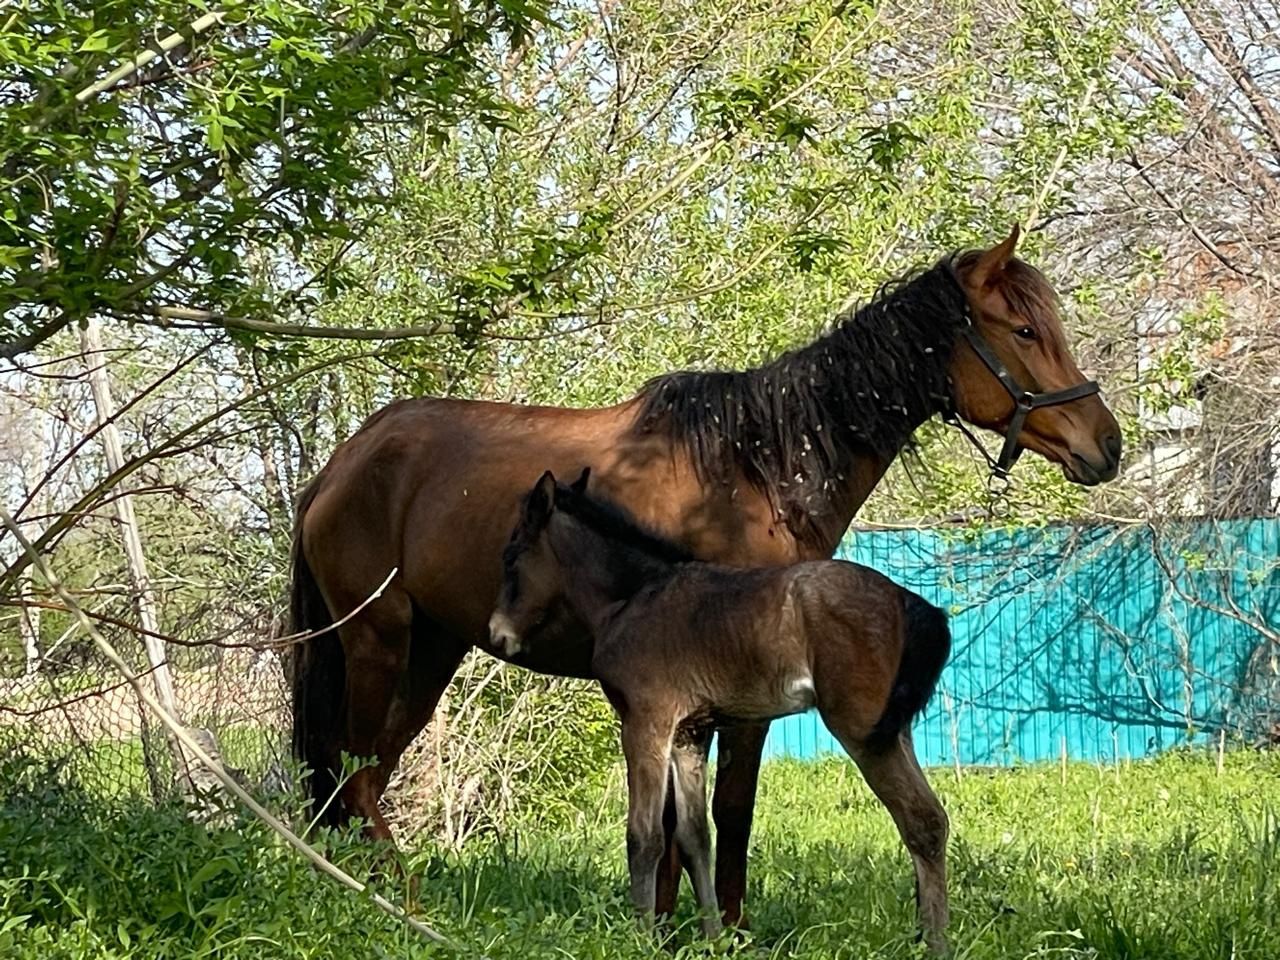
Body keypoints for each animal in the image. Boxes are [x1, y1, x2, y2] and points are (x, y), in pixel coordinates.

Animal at [488, 471, 952, 952]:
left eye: (511, 556)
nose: (498, 633)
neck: (634, 598)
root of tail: (910, 602)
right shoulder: (688, 735)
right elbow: (694, 837)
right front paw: (712, 937)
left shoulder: (645, 724)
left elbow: (645, 836)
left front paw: (640, 938)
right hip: (896, 732)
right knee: (934, 820)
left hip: (863, 734)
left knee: (920, 821)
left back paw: (935, 943)